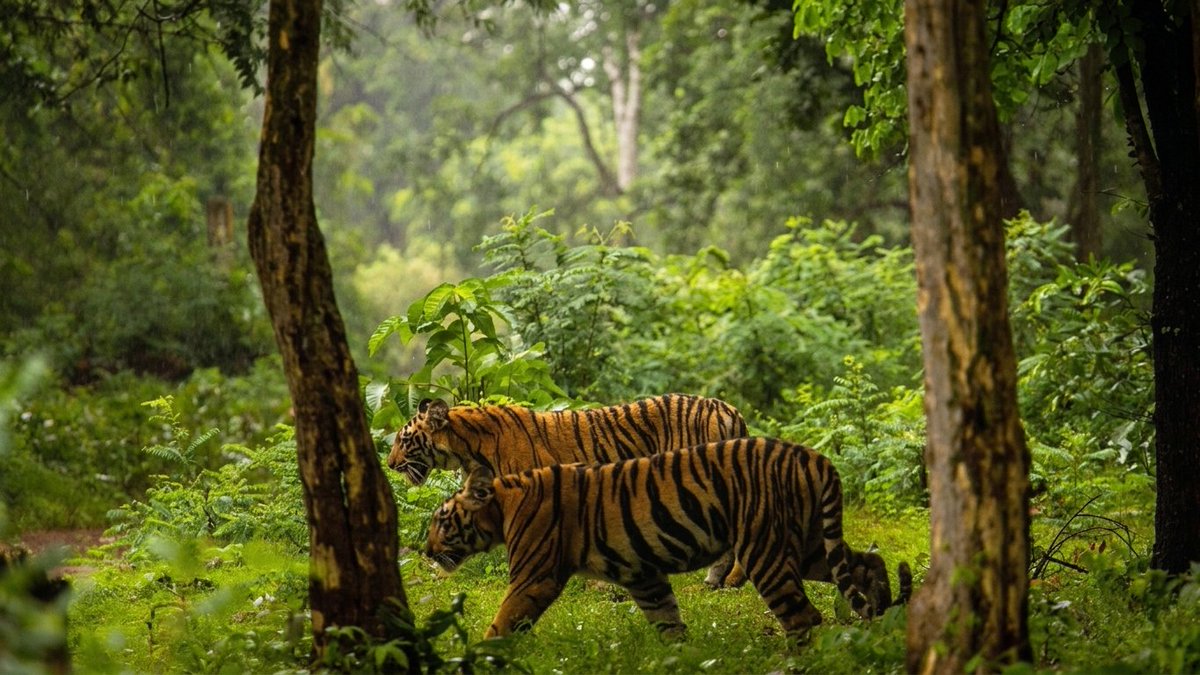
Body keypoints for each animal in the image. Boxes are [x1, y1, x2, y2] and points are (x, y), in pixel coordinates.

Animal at [424, 437, 910, 642]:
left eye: (441, 521)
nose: (425, 551)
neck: (504, 507)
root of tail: (814, 457)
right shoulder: (643, 575)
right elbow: (668, 622)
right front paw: (684, 658)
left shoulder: (533, 577)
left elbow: (502, 623)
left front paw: (478, 655)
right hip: (807, 544)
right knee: (867, 563)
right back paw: (884, 604)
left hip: (764, 549)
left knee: (804, 618)